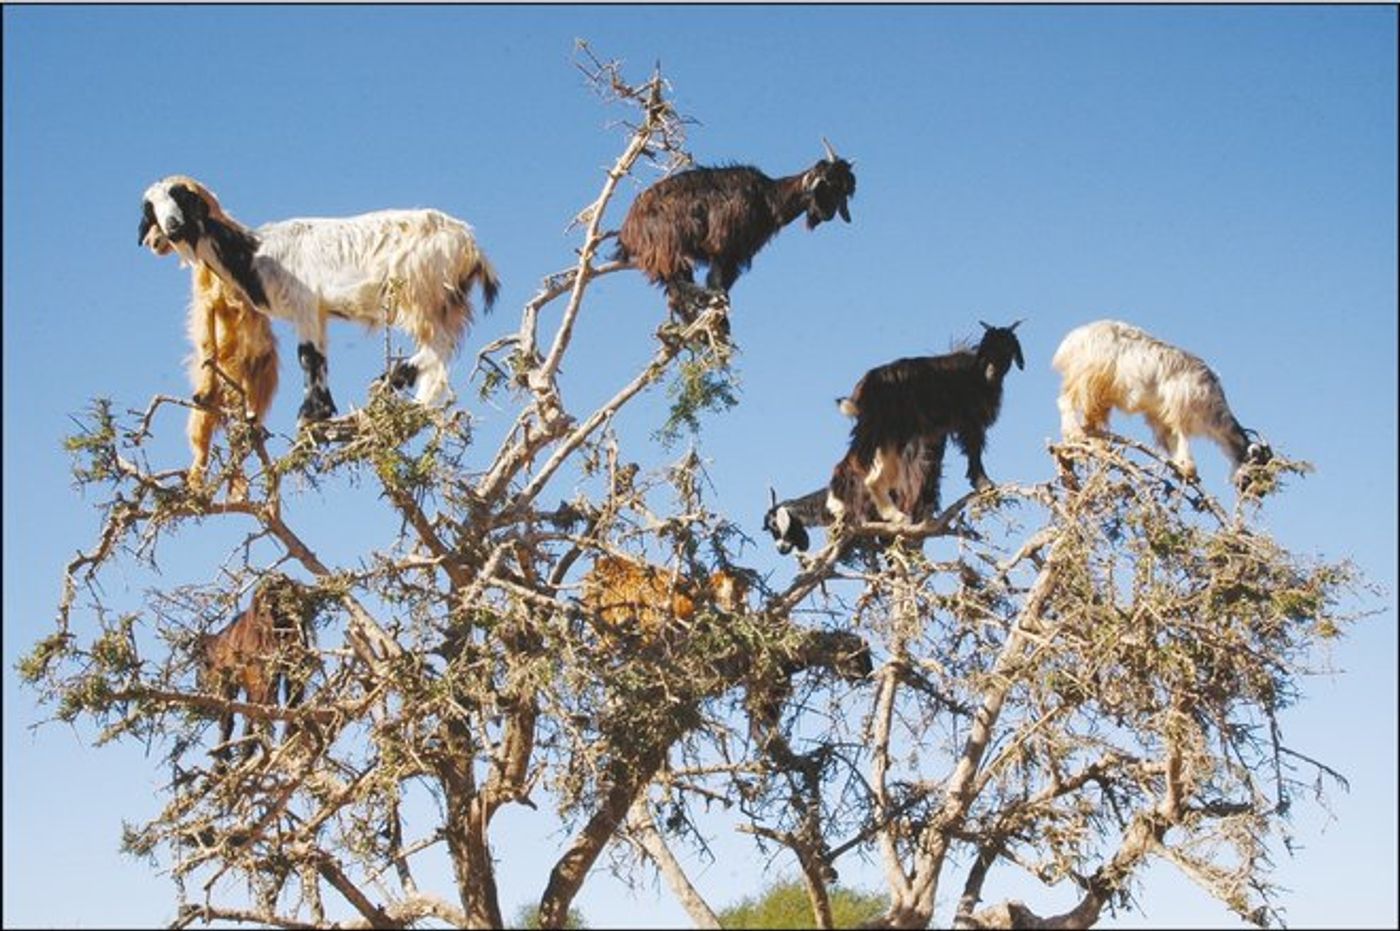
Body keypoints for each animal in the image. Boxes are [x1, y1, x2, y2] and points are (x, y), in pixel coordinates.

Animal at [139, 172, 501, 422]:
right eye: (151, 210)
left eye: (181, 198)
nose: (171, 229)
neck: (254, 253)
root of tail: (470, 246)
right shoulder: (319, 312)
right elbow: (319, 356)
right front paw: (321, 410)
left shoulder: (305, 305)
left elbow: (308, 357)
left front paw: (311, 414)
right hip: (444, 302)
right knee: (443, 351)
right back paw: (416, 400)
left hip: (420, 293)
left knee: (439, 345)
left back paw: (393, 380)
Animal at [823, 319, 1024, 523]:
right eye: (987, 347)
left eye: (1008, 348)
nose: (992, 371)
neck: (977, 374)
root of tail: (863, 387)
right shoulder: (971, 422)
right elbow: (974, 453)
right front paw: (985, 484)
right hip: (877, 428)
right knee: (850, 463)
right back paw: (836, 504)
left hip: (891, 435)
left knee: (873, 478)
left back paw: (896, 515)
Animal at [1052, 317, 1271, 481]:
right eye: (1257, 466)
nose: (1259, 494)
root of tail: (1073, 339)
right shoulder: (1180, 407)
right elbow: (1181, 434)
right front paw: (1189, 469)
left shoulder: (1158, 416)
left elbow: (1170, 439)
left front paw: (1180, 467)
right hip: (1087, 378)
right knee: (1065, 401)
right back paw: (1075, 435)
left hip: (1100, 393)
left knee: (1092, 419)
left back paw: (1097, 445)